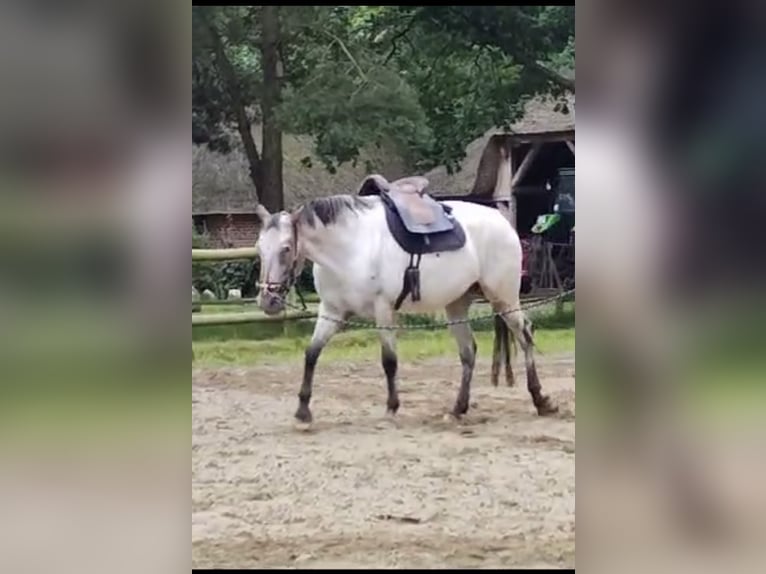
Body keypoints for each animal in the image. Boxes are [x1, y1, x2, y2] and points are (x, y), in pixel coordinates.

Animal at [255, 173, 560, 426]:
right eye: (259, 248)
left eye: (286, 249)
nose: (267, 301)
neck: (352, 247)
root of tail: (502, 223)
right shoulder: (331, 311)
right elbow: (311, 353)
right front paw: (303, 410)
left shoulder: (383, 309)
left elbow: (389, 360)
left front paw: (392, 407)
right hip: (458, 303)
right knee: (468, 352)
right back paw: (457, 409)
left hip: (504, 298)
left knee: (525, 336)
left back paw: (541, 400)